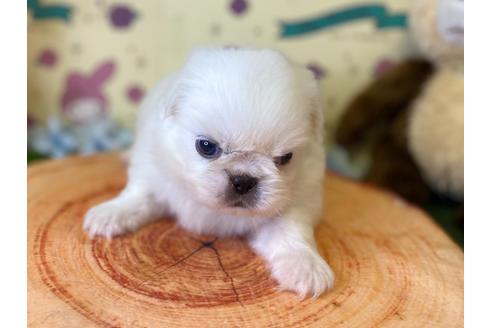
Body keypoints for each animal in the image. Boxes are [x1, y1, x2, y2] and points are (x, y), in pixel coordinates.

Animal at [84, 48, 336, 298]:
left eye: (284, 158)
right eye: (206, 146)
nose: (243, 181)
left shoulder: (298, 201)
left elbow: (292, 232)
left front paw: (306, 268)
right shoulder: (153, 172)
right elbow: (138, 195)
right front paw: (111, 214)